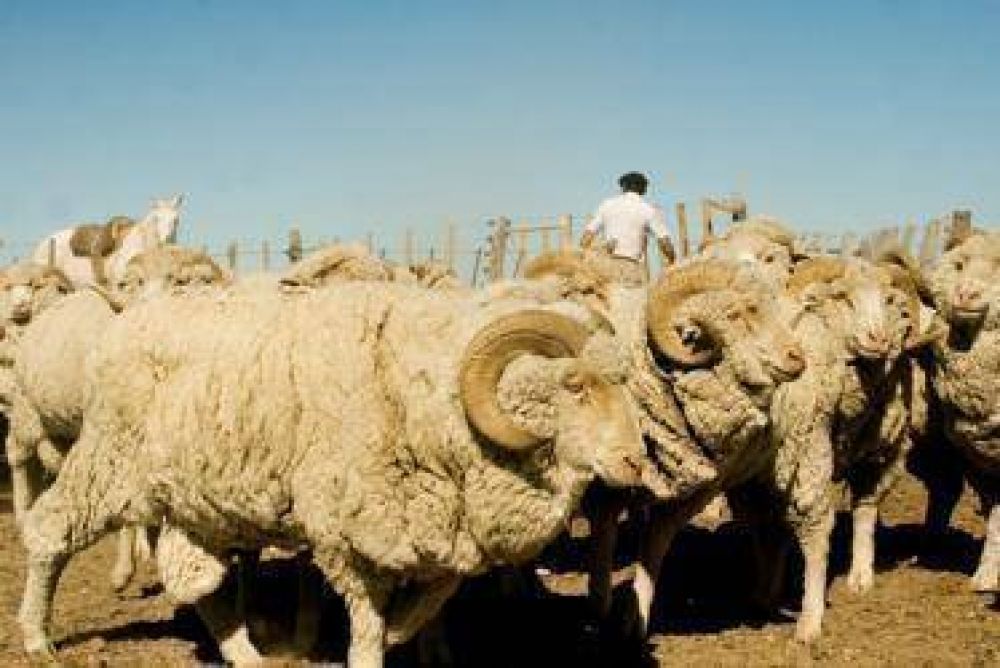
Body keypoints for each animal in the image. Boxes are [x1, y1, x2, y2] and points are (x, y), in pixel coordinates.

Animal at [17, 281, 649, 667]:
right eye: (575, 385)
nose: (635, 461)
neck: (427, 393)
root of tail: (122, 324)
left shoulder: (438, 530)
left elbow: (427, 603)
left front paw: (404, 634)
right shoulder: (347, 533)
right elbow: (367, 628)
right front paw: (371, 648)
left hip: (197, 505)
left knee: (200, 587)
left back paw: (247, 656)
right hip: (107, 461)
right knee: (50, 533)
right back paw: (36, 636)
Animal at [521, 251, 806, 640]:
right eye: (736, 313)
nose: (798, 358)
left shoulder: (694, 490)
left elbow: (655, 547)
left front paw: (634, 618)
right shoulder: (606, 481)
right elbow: (603, 542)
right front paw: (599, 606)